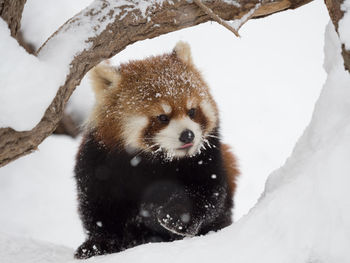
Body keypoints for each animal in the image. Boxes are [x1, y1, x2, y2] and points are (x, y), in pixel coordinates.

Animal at [73, 41, 238, 260]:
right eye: (162, 117)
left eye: (192, 111)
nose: (188, 135)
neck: (156, 160)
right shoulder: (99, 162)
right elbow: (99, 207)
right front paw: (98, 244)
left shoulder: (206, 156)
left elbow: (207, 192)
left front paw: (177, 216)